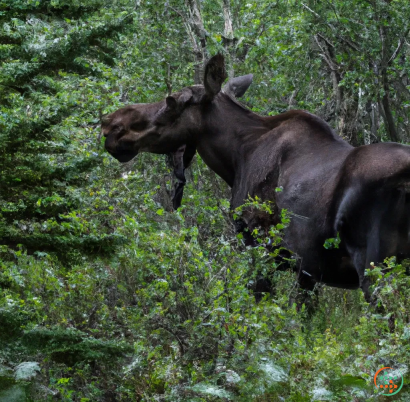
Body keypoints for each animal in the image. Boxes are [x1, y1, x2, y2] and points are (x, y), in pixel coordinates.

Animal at [101, 55, 410, 304]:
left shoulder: (258, 245)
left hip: (376, 267)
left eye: (171, 103)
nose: (110, 124)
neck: (237, 157)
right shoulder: (308, 268)